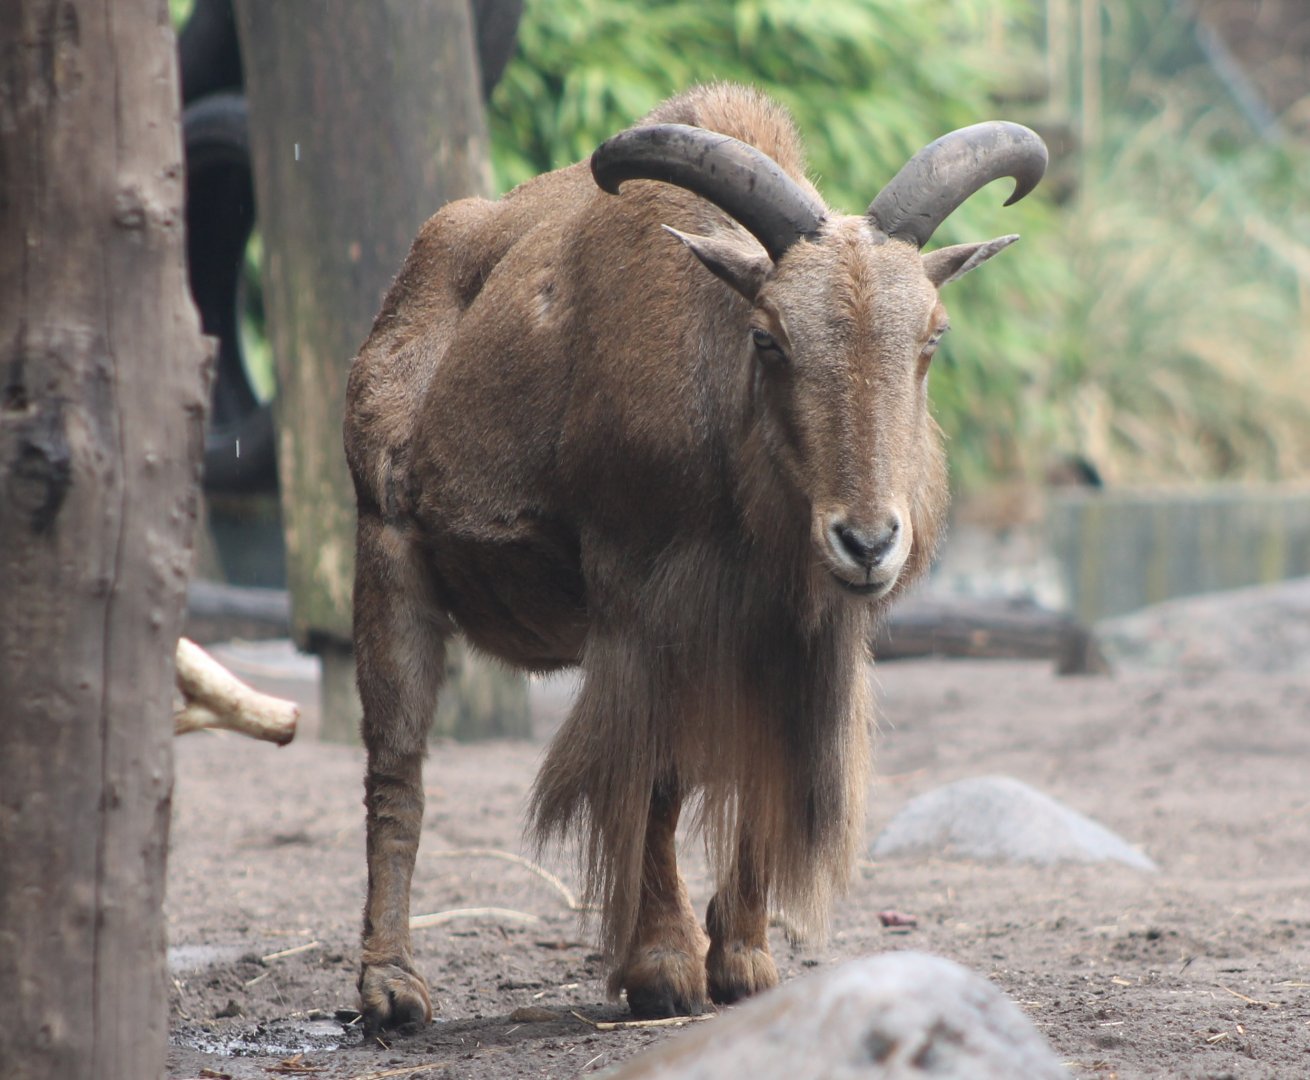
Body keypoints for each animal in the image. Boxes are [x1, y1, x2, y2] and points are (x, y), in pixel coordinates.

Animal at [343, 82, 1046, 1032]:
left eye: (931, 336)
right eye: (771, 337)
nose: (866, 542)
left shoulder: (784, 635)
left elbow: (758, 777)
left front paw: (745, 959)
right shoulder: (644, 608)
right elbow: (658, 777)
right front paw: (664, 968)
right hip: (386, 553)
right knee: (397, 773)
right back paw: (391, 986)